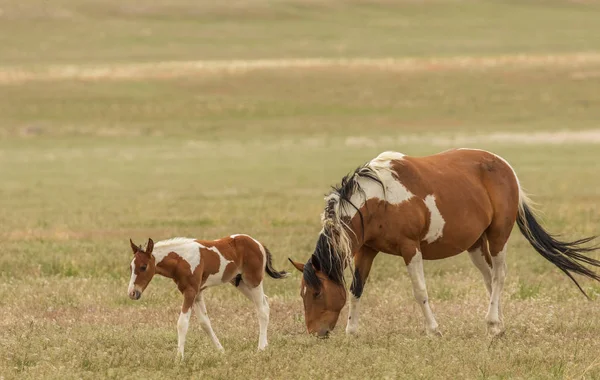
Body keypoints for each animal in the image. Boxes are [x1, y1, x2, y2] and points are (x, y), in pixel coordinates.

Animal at [126, 233, 286, 358]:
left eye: (143, 267)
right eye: (131, 267)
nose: (132, 293)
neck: (181, 260)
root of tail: (258, 243)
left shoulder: (190, 291)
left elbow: (182, 323)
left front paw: (179, 358)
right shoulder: (197, 293)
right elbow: (205, 323)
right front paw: (221, 351)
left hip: (253, 281)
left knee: (262, 310)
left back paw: (261, 348)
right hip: (240, 282)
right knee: (265, 302)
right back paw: (266, 345)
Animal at [288, 150, 596, 336]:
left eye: (316, 293)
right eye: (303, 294)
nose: (315, 332)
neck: (379, 199)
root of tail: (505, 167)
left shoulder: (410, 248)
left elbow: (420, 291)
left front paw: (433, 329)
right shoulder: (367, 249)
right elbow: (356, 289)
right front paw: (352, 331)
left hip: (498, 236)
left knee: (499, 276)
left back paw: (491, 322)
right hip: (476, 245)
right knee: (490, 279)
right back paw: (498, 325)